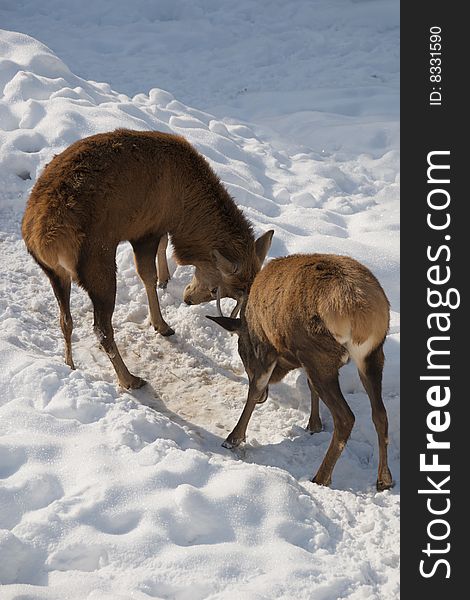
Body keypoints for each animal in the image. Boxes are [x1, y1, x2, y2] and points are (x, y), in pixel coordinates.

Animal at [23, 127, 272, 390]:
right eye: (216, 290)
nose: (188, 299)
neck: (184, 213)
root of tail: (44, 240)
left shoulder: (158, 227)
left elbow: (160, 253)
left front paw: (166, 279)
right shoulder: (145, 231)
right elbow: (147, 275)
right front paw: (161, 323)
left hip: (55, 272)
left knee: (65, 319)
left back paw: (70, 364)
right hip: (98, 262)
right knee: (101, 328)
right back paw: (129, 379)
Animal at [208, 251, 392, 490]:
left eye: (242, 350)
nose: (266, 397)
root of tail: (360, 312)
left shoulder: (266, 346)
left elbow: (255, 388)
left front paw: (233, 439)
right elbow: (308, 385)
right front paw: (314, 425)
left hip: (320, 354)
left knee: (346, 417)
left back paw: (321, 478)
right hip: (371, 355)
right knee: (380, 414)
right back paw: (384, 479)